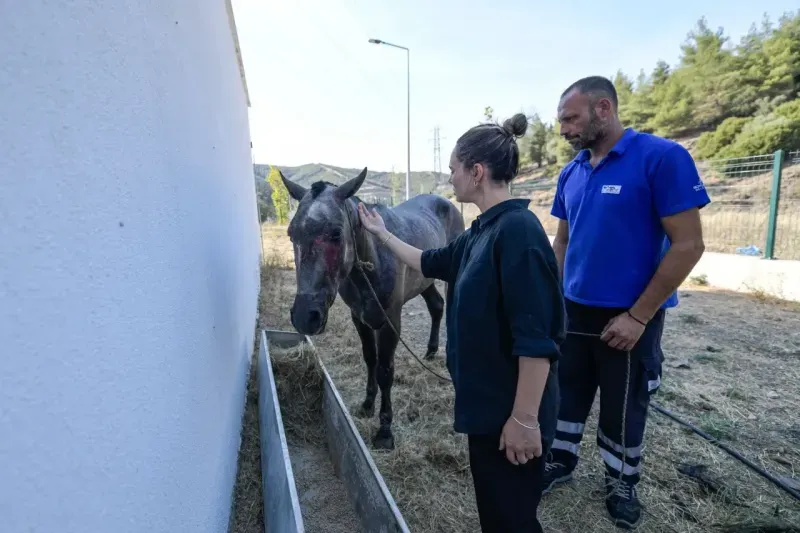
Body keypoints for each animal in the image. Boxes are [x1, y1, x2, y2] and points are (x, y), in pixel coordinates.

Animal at [280, 167, 462, 448]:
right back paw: (431, 351)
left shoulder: (390, 322)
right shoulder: (360, 318)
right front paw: (367, 405)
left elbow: (385, 370)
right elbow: (370, 359)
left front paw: (385, 431)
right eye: (291, 233)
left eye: (336, 233)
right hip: (425, 278)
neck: (372, 261)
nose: (305, 317)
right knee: (436, 306)